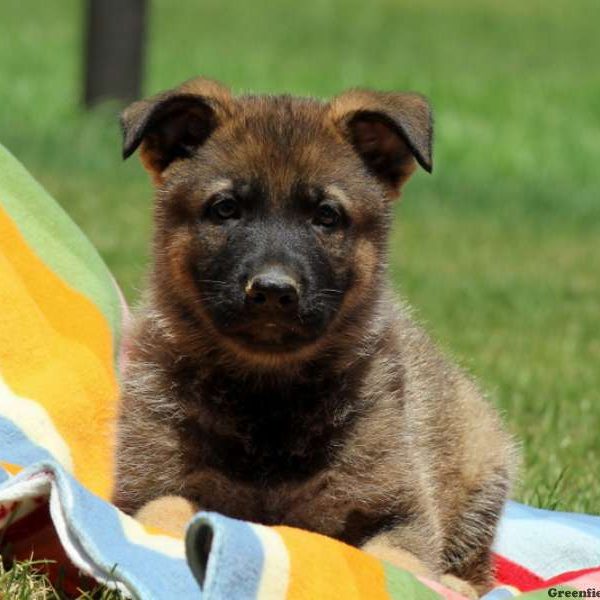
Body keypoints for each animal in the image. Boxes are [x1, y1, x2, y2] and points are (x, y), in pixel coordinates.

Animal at [115, 78, 516, 596]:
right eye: (225, 209)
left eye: (326, 215)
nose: (272, 291)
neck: (268, 401)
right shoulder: (147, 485)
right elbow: (165, 511)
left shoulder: (400, 511)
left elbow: (396, 563)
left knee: (478, 568)